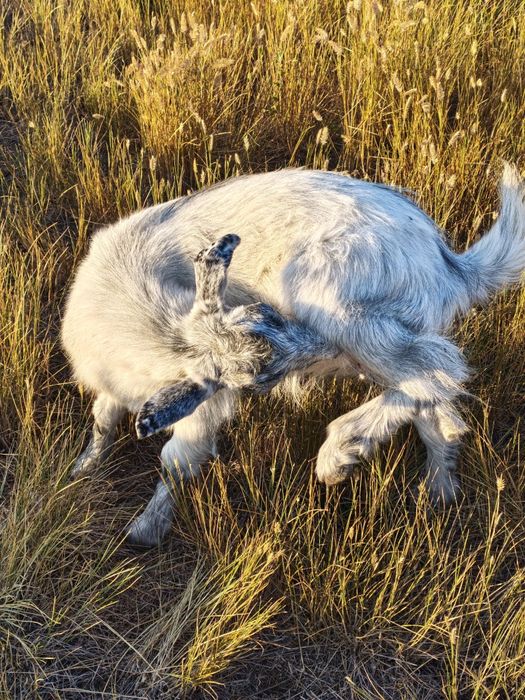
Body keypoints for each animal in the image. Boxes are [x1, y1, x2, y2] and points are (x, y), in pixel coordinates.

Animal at [62, 165, 525, 545]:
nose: (315, 350)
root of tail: (445, 264)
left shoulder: (205, 406)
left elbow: (176, 460)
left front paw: (146, 529)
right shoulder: (111, 381)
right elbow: (103, 420)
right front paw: (83, 468)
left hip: (348, 312)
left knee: (437, 369)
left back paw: (340, 452)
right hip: (377, 335)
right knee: (432, 396)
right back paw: (437, 485)